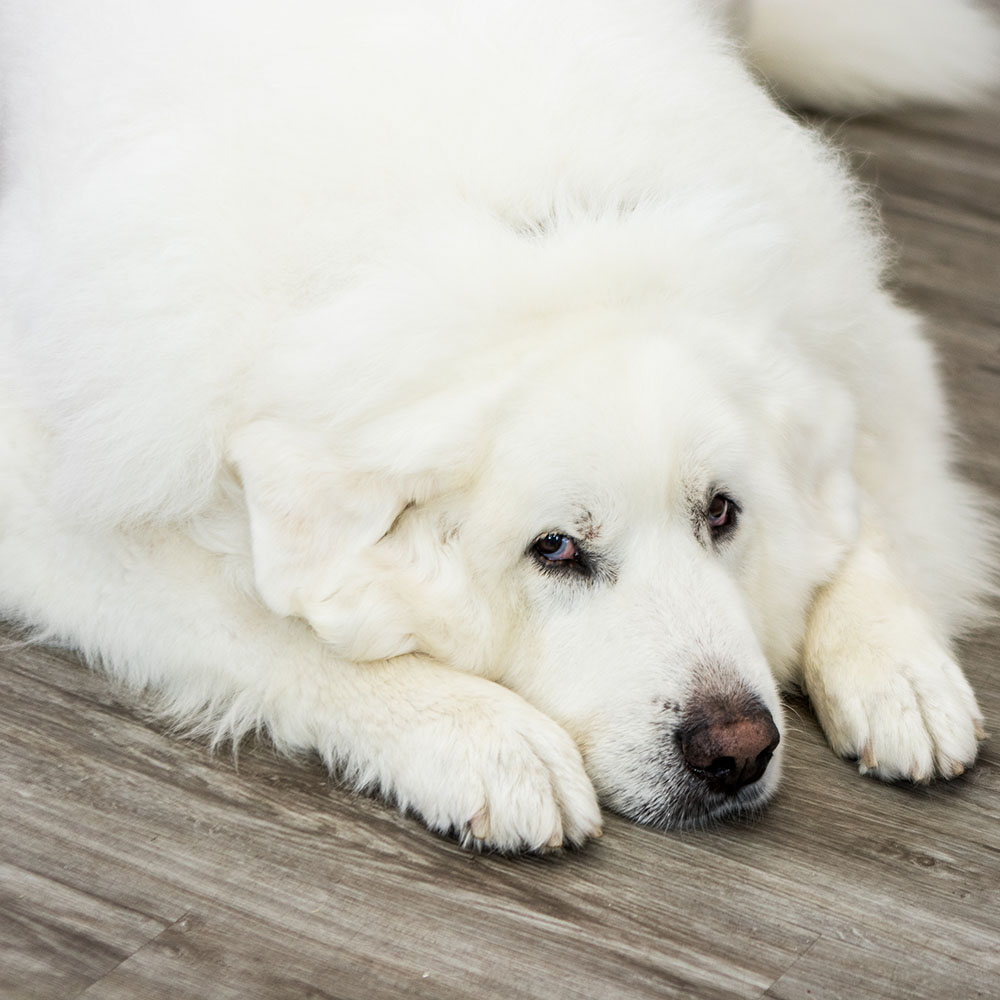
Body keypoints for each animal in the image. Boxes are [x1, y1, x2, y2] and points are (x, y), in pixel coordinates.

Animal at [0, 0, 996, 852]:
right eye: (554, 549)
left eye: (722, 513)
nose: (738, 750)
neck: (532, 232)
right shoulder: (55, 509)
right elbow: (278, 628)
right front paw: (484, 738)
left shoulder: (864, 342)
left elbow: (861, 502)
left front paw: (895, 662)